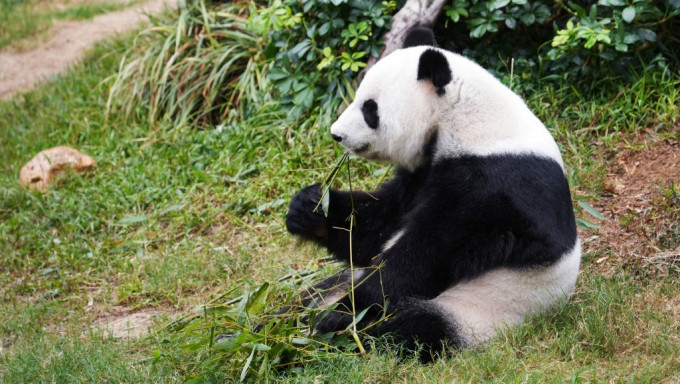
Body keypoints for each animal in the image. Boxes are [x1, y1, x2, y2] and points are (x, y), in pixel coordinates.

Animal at [284, 27, 580, 360]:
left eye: (370, 109)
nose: (337, 134)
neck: (466, 119)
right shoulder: (422, 172)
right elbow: (377, 227)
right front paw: (309, 208)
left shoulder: (492, 187)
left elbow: (422, 257)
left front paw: (342, 313)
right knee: (303, 301)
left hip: (482, 310)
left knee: (412, 330)